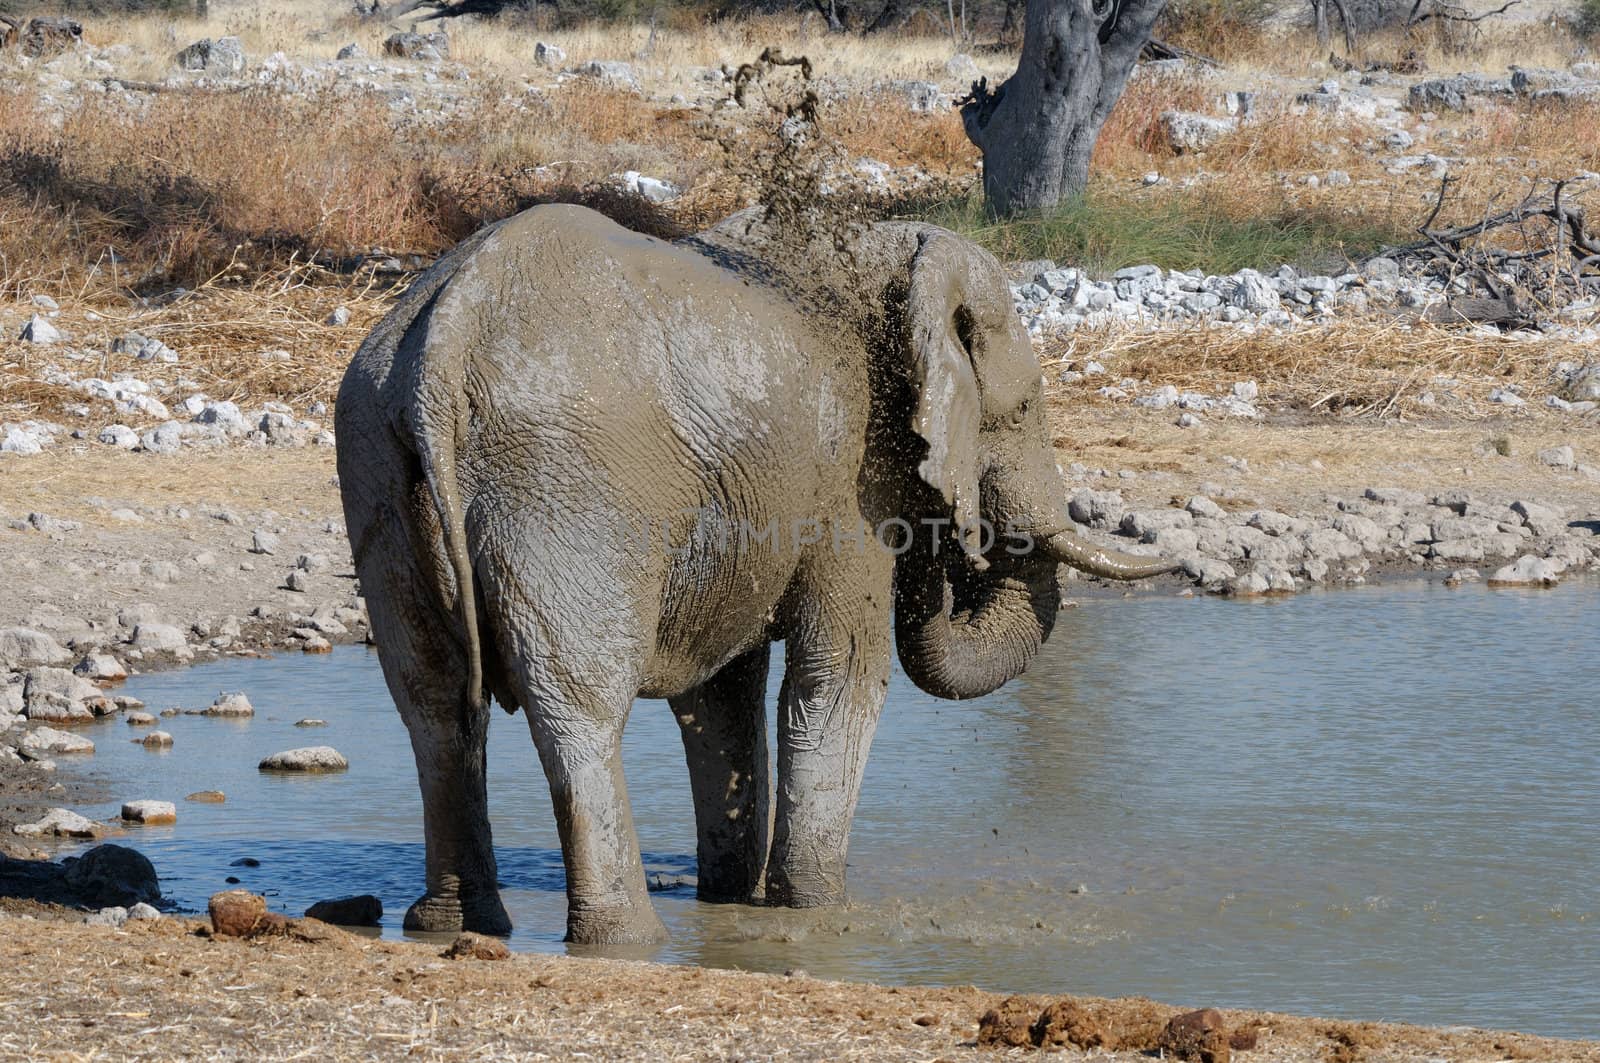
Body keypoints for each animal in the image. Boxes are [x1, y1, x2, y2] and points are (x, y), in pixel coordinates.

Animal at [334, 203, 1177, 941]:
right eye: (1027, 405)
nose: (949, 546)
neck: (890, 255)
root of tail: (445, 337)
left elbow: (720, 693)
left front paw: (732, 897)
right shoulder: (848, 485)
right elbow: (839, 676)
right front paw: (816, 908)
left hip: (378, 461)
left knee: (435, 707)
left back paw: (457, 923)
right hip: (566, 483)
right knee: (577, 703)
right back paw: (626, 935)